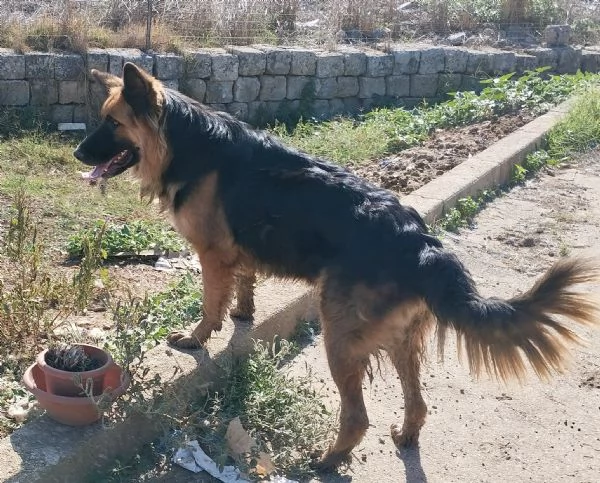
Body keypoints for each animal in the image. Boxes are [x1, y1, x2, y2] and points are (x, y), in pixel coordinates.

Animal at [75, 62, 600, 470]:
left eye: (113, 123)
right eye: (100, 119)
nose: (77, 153)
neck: (185, 141)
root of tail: (420, 243)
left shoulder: (211, 255)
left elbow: (210, 304)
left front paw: (197, 338)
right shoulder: (237, 252)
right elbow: (244, 284)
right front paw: (243, 314)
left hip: (340, 336)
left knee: (357, 416)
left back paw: (328, 460)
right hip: (400, 340)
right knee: (418, 402)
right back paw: (405, 436)